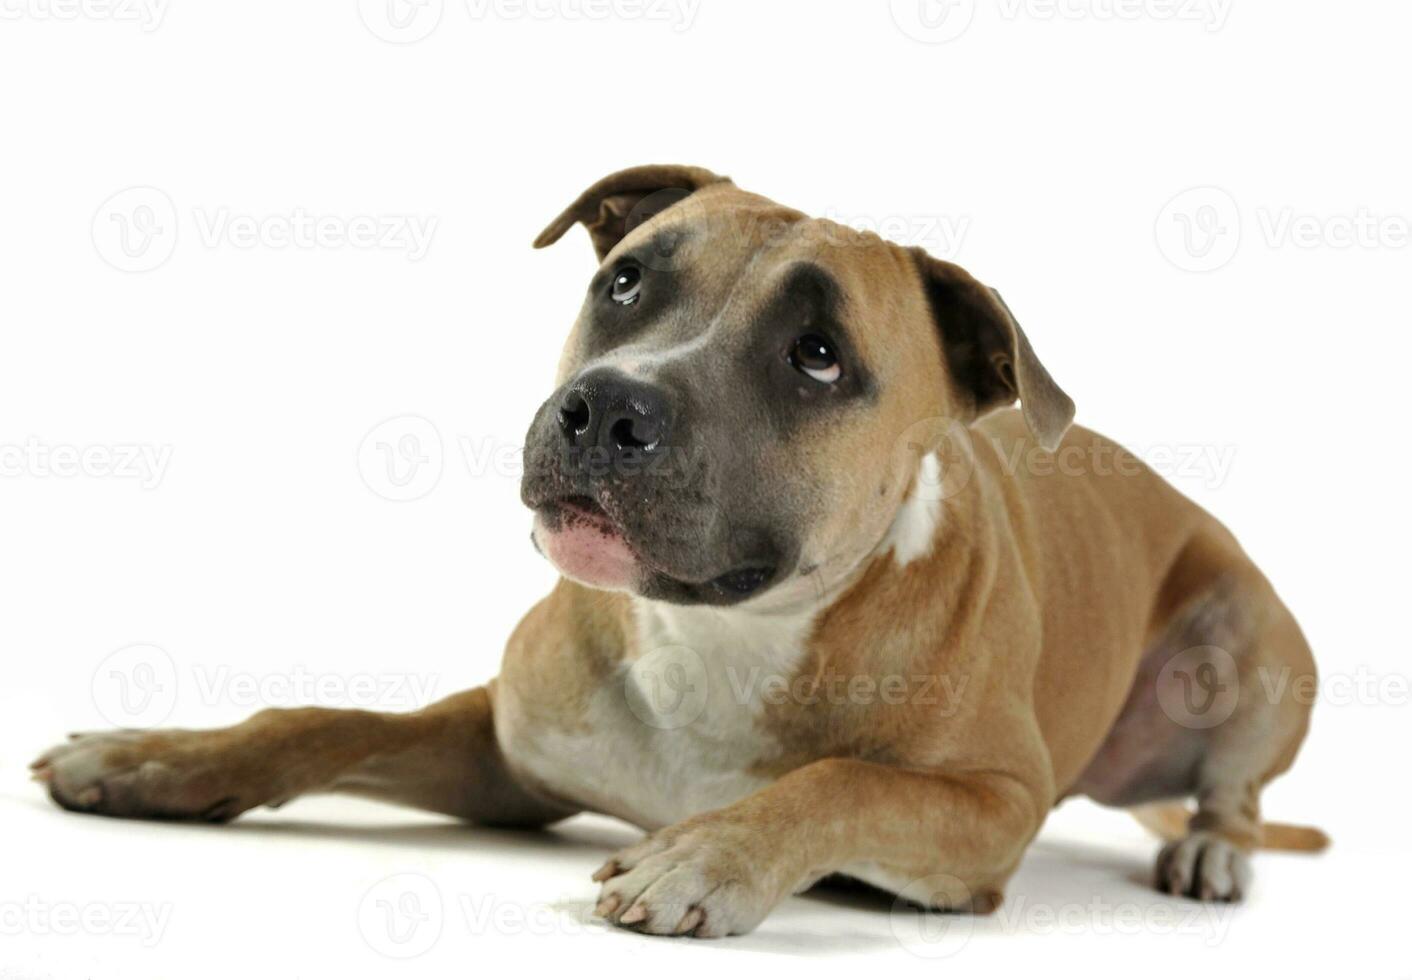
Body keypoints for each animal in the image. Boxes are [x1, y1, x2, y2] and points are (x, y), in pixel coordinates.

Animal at [35, 165, 1332, 943]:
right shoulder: (508, 749)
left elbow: (843, 779)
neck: (719, 636)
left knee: (1232, 793)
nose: (605, 408)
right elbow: (320, 719)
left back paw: (1210, 854)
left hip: (1245, 643)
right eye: (624, 280)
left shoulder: (988, 804)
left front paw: (707, 853)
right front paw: (154, 755)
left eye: (818, 353)